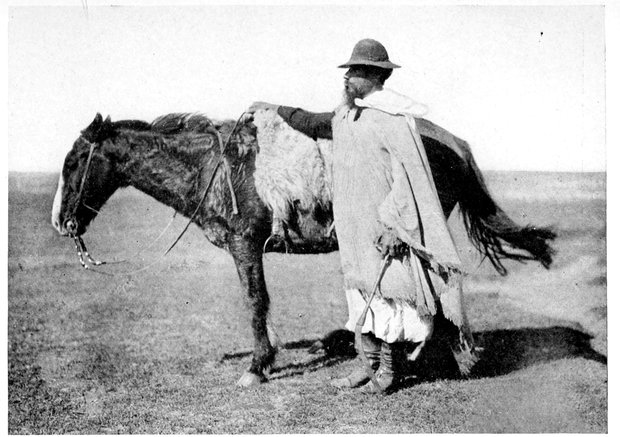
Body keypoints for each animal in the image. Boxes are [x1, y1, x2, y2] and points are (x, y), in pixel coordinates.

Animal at [52, 110, 556, 386]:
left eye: (73, 162)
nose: (60, 221)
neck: (212, 166)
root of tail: (454, 142)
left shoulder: (245, 243)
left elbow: (255, 301)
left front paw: (257, 367)